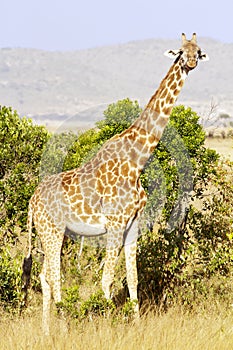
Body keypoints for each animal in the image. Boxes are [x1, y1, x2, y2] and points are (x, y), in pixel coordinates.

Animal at [21, 33, 208, 334]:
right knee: (53, 275)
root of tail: (31, 200)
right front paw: (106, 323)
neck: (137, 160)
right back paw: (63, 327)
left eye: (198, 50)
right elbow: (106, 279)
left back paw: (47, 331)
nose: (190, 62)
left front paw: (137, 324)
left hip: (47, 231)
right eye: (180, 51)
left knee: (43, 275)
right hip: (53, 230)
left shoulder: (133, 223)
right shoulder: (116, 223)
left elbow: (132, 278)